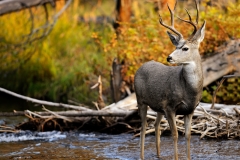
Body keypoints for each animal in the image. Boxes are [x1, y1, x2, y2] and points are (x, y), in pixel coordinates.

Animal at [134, 0, 205, 159]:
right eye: (176, 45)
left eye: (185, 48)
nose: (169, 57)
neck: (189, 90)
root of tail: (141, 66)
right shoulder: (170, 106)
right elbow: (175, 135)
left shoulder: (190, 109)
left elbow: (188, 136)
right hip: (141, 100)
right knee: (143, 128)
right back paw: (141, 156)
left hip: (158, 106)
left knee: (156, 125)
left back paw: (158, 154)